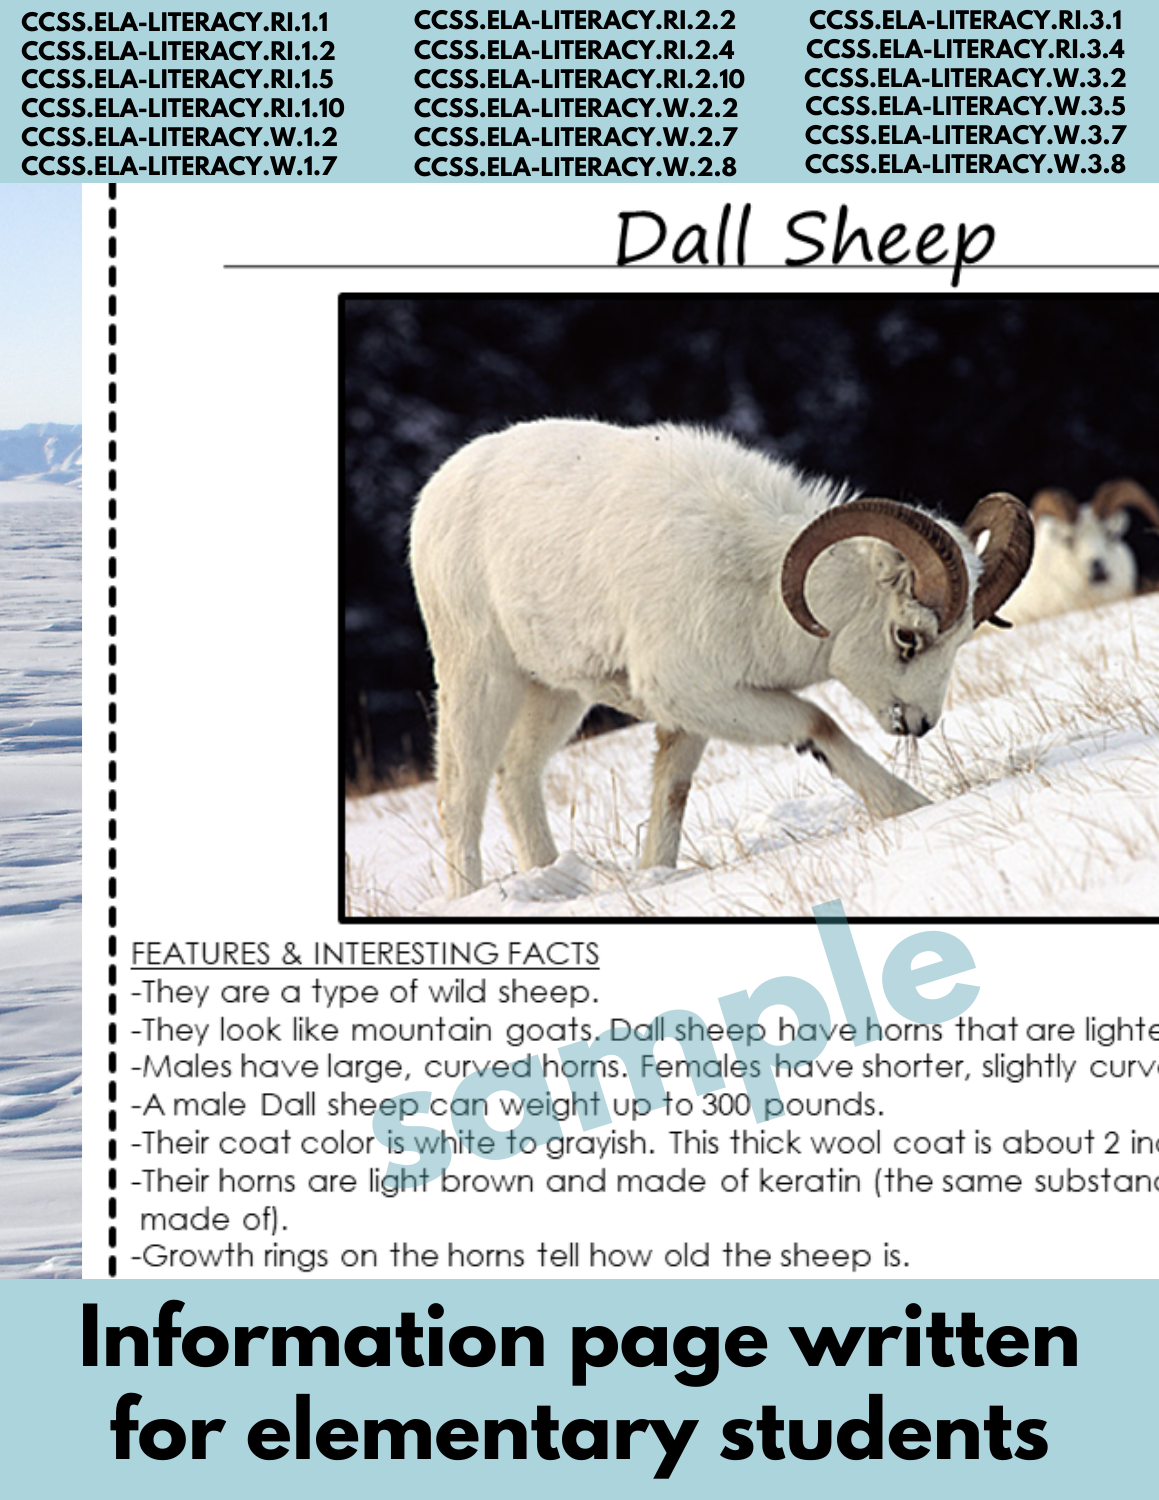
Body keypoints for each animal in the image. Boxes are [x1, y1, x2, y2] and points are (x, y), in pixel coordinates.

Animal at [409, 419, 1033, 898]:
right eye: (907, 637)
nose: (919, 723)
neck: (753, 582)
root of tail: (436, 491)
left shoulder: (692, 714)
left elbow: (673, 791)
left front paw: (654, 874)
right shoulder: (691, 692)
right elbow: (817, 722)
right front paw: (906, 804)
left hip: (556, 692)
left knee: (517, 775)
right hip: (481, 677)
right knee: (460, 795)